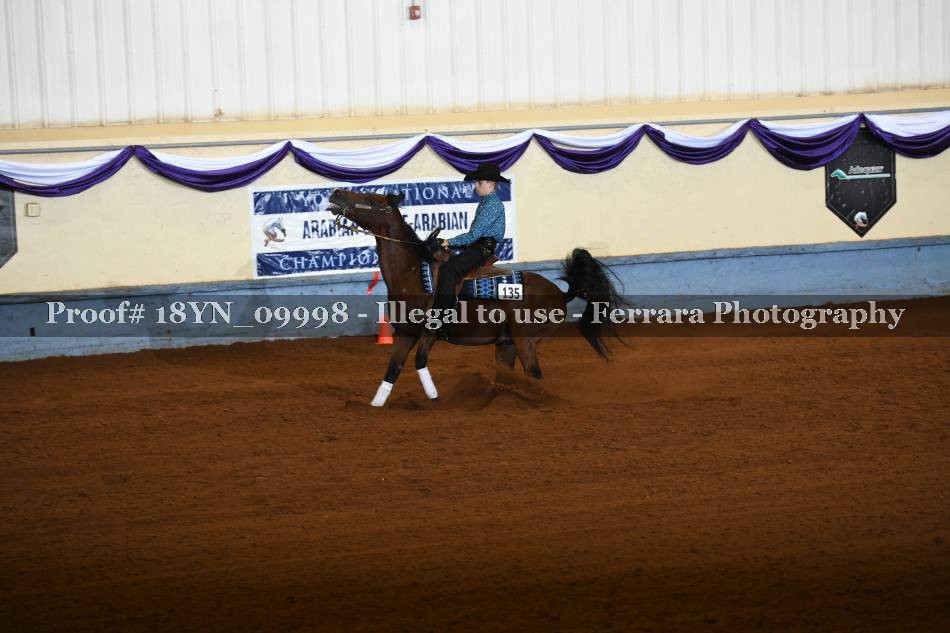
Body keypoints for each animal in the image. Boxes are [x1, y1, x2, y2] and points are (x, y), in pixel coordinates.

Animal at [327, 188, 626, 407]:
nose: (337, 192)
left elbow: (419, 362)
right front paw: (374, 405)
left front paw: (435, 399)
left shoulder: (429, 333)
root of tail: (561, 294)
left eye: (371, 199)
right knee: (510, 377)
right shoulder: (404, 334)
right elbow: (392, 370)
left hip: (525, 341)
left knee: (534, 375)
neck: (413, 272)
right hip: (506, 344)